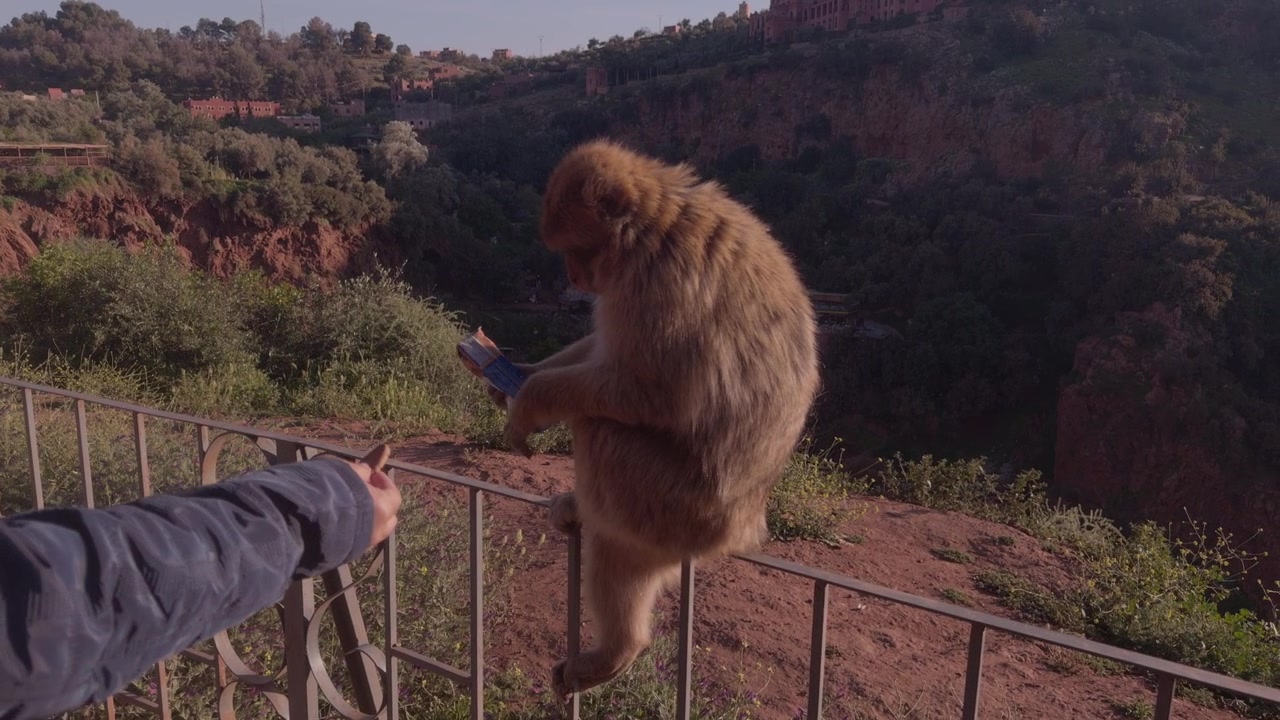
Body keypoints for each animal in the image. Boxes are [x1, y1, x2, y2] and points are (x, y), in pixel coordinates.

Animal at [497, 139, 820, 698]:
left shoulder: (656, 283)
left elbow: (654, 393)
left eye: (577, 248)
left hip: (673, 509)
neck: (654, 223)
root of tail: (744, 525)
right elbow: (602, 355)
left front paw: (533, 399)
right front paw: (520, 373)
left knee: (602, 438)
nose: (574, 278)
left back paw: (616, 650)